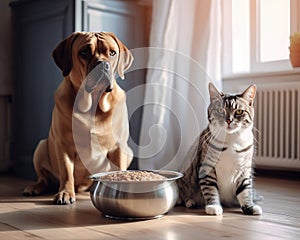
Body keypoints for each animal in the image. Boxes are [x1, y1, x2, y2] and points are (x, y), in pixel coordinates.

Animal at [22, 31, 132, 204]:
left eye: (112, 53)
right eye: (84, 52)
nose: (103, 64)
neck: (93, 105)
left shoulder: (119, 147)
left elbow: (119, 169)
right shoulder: (63, 145)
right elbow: (67, 172)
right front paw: (65, 193)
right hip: (41, 147)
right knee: (43, 178)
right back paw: (35, 187)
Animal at [176, 83, 262, 216]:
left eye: (239, 111)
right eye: (220, 110)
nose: (229, 120)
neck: (231, 140)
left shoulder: (244, 169)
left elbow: (245, 190)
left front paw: (250, 207)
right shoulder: (206, 167)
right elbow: (210, 189)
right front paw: (213, 206)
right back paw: (190, 201)